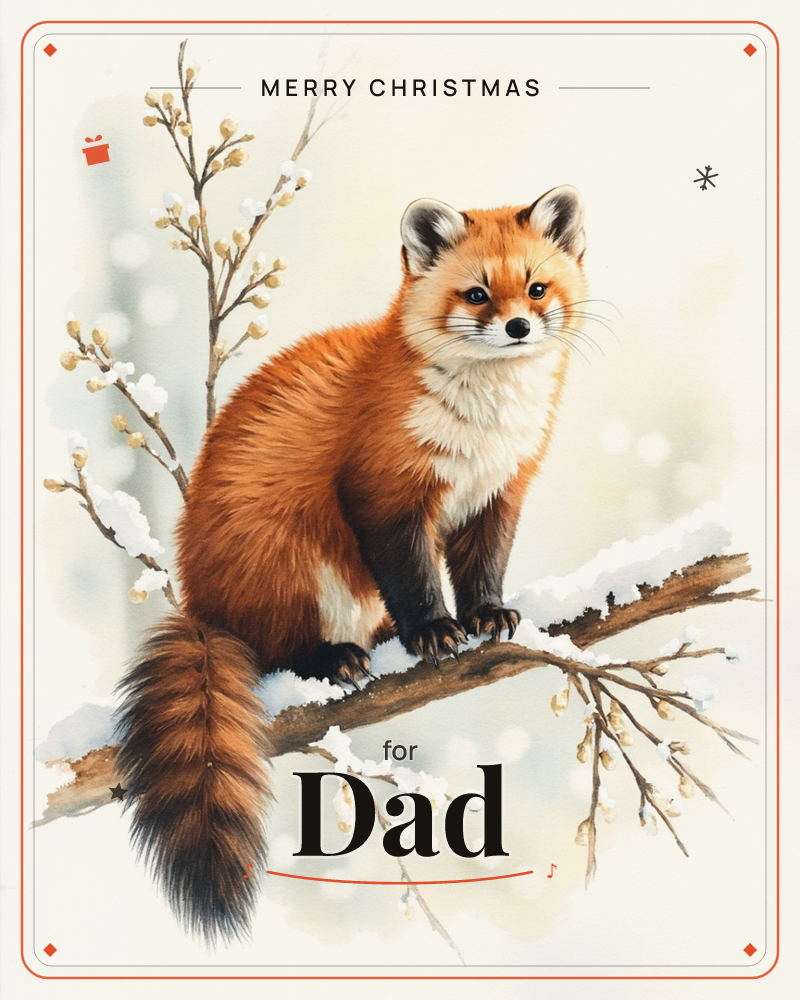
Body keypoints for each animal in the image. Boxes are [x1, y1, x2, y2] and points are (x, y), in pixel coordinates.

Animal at [115, 184, 588, 943]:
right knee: (274, 652)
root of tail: (201, 605)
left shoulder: (499, 493)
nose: (518, 325)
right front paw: (433, 632)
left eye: (537, 287)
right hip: (291, 566)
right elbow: (411, 575)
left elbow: (483, 568)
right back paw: (335, 657)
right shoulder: (383, 491)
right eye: (477, 292)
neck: (480, 436)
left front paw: (488, 617)